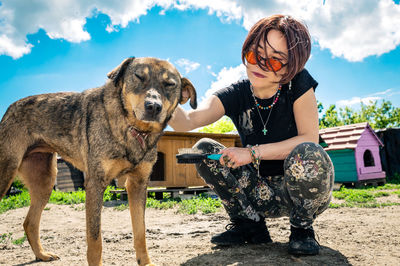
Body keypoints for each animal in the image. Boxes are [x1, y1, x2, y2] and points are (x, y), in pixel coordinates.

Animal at [0, 57, 195, 264]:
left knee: (29, 222)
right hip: (7, 174)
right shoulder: (95, 184)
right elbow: (95, 238)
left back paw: (42, 254)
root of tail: (10, 108)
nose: (153, 107)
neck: (132, 128)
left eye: (169, 84)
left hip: (44, 182)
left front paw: (146, 262)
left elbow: (140, 232)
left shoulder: (138, 184)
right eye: (139, 76)